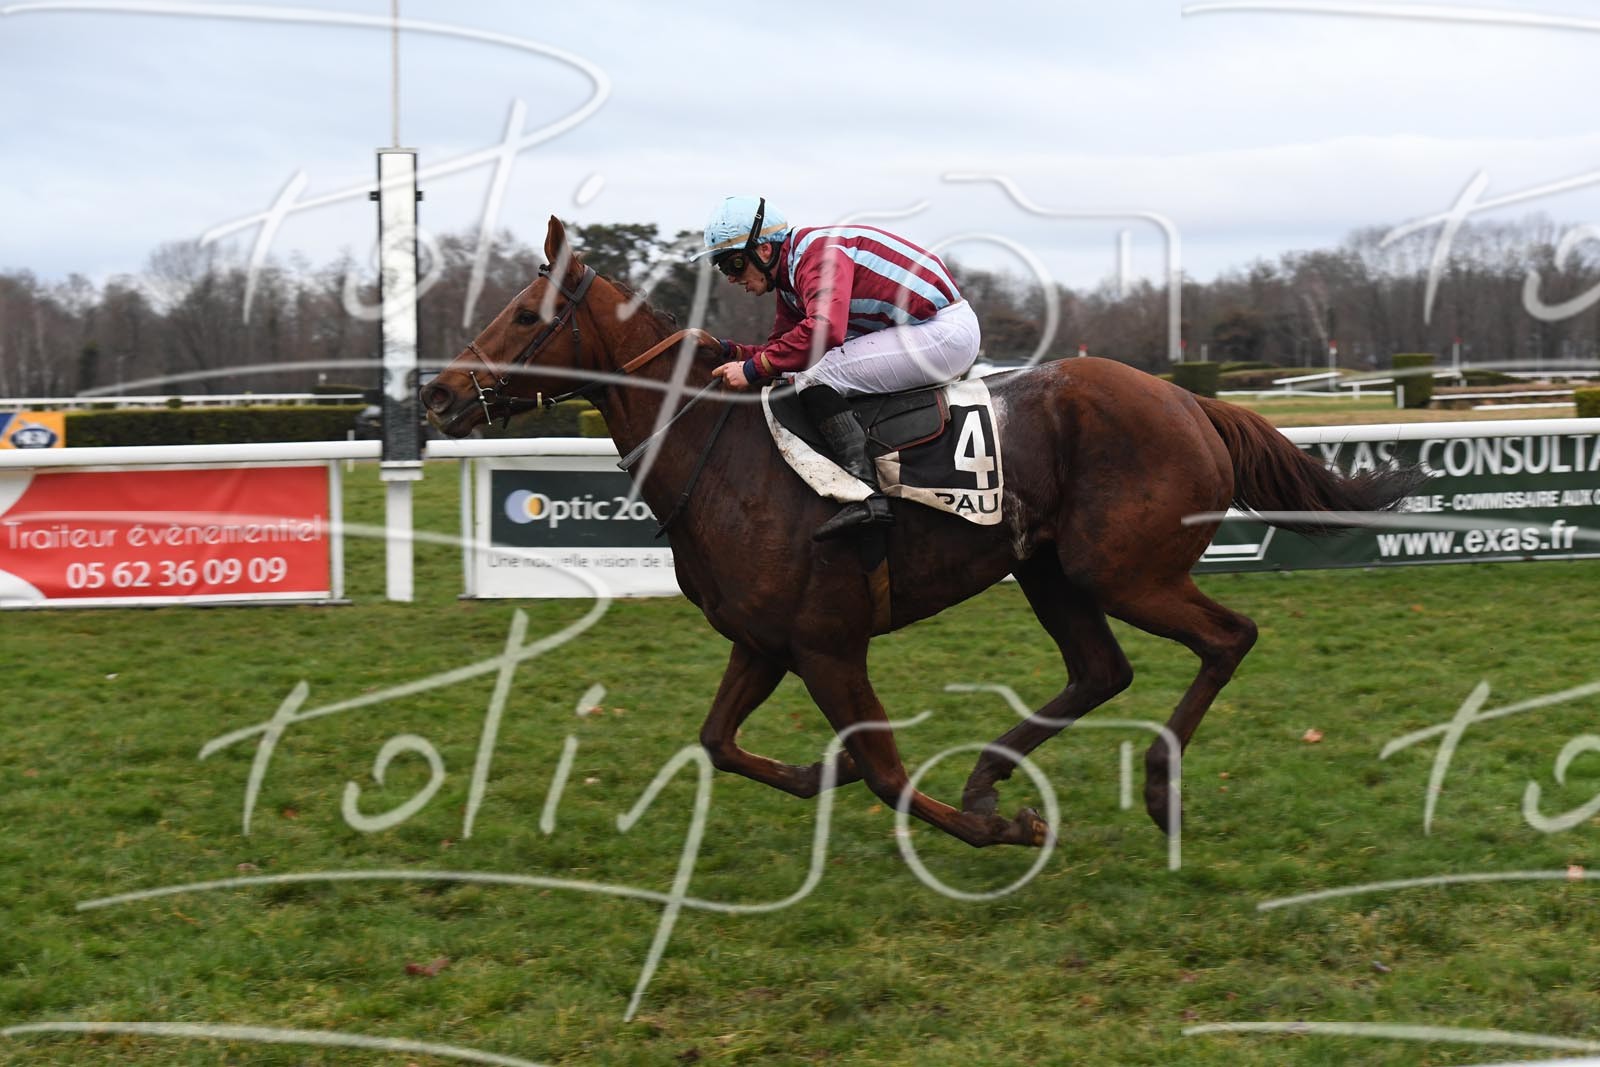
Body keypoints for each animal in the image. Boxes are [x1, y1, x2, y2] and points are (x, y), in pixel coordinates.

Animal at [420, 216, 1420, 849]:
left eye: (524, 315)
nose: (434, 393)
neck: (720, 451)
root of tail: (1190, 400)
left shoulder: (827, 643)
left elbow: (889, 773)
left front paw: (997, 829)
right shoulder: (763, 641)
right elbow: (721, 743)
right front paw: (831, 774)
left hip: (1122, 568)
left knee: (1228, 636)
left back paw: (1153, 789)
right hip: (1050, 570)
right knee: (1102, 670)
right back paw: (991, 772)